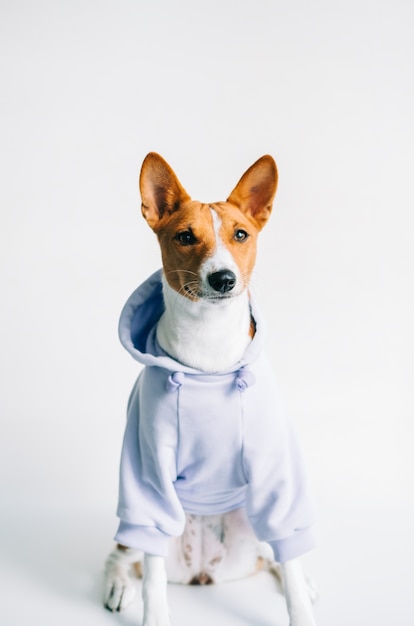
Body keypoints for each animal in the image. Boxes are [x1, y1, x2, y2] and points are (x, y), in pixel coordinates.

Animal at [103, 152, 316, 624]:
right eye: (185, 237)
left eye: (240, 234)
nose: (223, 279)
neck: (209, 354)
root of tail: (203, 570)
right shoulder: (148, 468)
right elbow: (153, 582)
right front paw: (153, 615)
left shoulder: (275, 470)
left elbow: (292, 559)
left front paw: (302, 600)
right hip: (143, 526)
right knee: (124, 553)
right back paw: (118, 584)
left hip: (252, 521)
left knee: (274, 555)